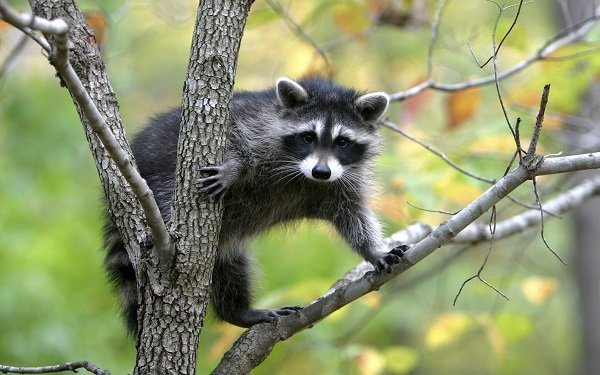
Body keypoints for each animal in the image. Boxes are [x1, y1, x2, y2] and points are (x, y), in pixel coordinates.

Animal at [104, 77, 404, 334]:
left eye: (342, 142)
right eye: (308, 137)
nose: (321, 172)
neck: (304, 175)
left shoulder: (342, 183)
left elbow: (353, 217)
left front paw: (374, 250)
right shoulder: (255, 123)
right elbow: (235, 137)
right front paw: (234, 168)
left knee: (230, 267)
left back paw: (237, 311)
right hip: (161, 182)